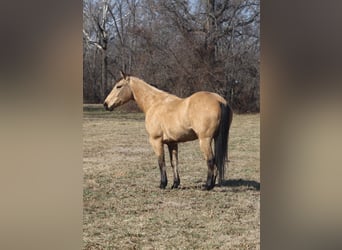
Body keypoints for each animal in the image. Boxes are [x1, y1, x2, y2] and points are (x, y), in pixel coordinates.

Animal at [104, 71, 232, 190]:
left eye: (119, 86)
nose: (105, 104)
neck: (154, 104)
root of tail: (219, 100)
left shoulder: (156, 141)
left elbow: (161, 162)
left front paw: (162, 184)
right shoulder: (172, 143)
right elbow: (174, 162)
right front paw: (175, 184)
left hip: (204, 140)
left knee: (210, 160)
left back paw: (207, 186)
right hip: (215, 138)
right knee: (216, 160)